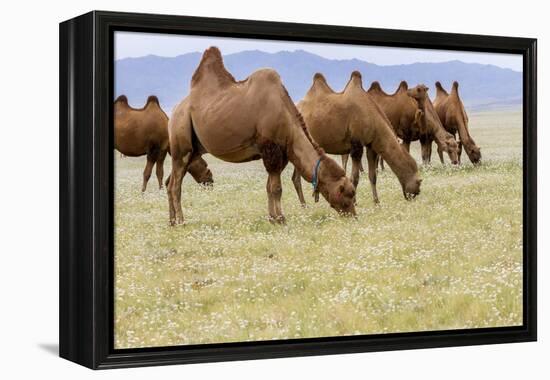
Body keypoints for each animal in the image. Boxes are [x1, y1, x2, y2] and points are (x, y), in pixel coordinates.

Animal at [168, 47, 358, 226]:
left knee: (171, 182)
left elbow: (269, 187)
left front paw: (272, 218)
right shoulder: (270, 149)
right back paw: (181, 222)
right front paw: (281, 219)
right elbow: (277, 188)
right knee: (175, 185)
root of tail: (175, 110)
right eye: (346, 194)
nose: (353, 216)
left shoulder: (279, 153)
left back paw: (171, 222)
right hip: (180, 139)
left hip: (194, 150)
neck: (287, 120)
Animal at [294, 70, 422, 205]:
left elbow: (372, 176)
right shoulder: (356, 145)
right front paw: (354, 202)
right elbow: (354, 178)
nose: (416, 193)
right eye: (418, 181)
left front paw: (377, 202)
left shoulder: (371, 145)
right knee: (296, 178)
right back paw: (304, 205)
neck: (372, 118)